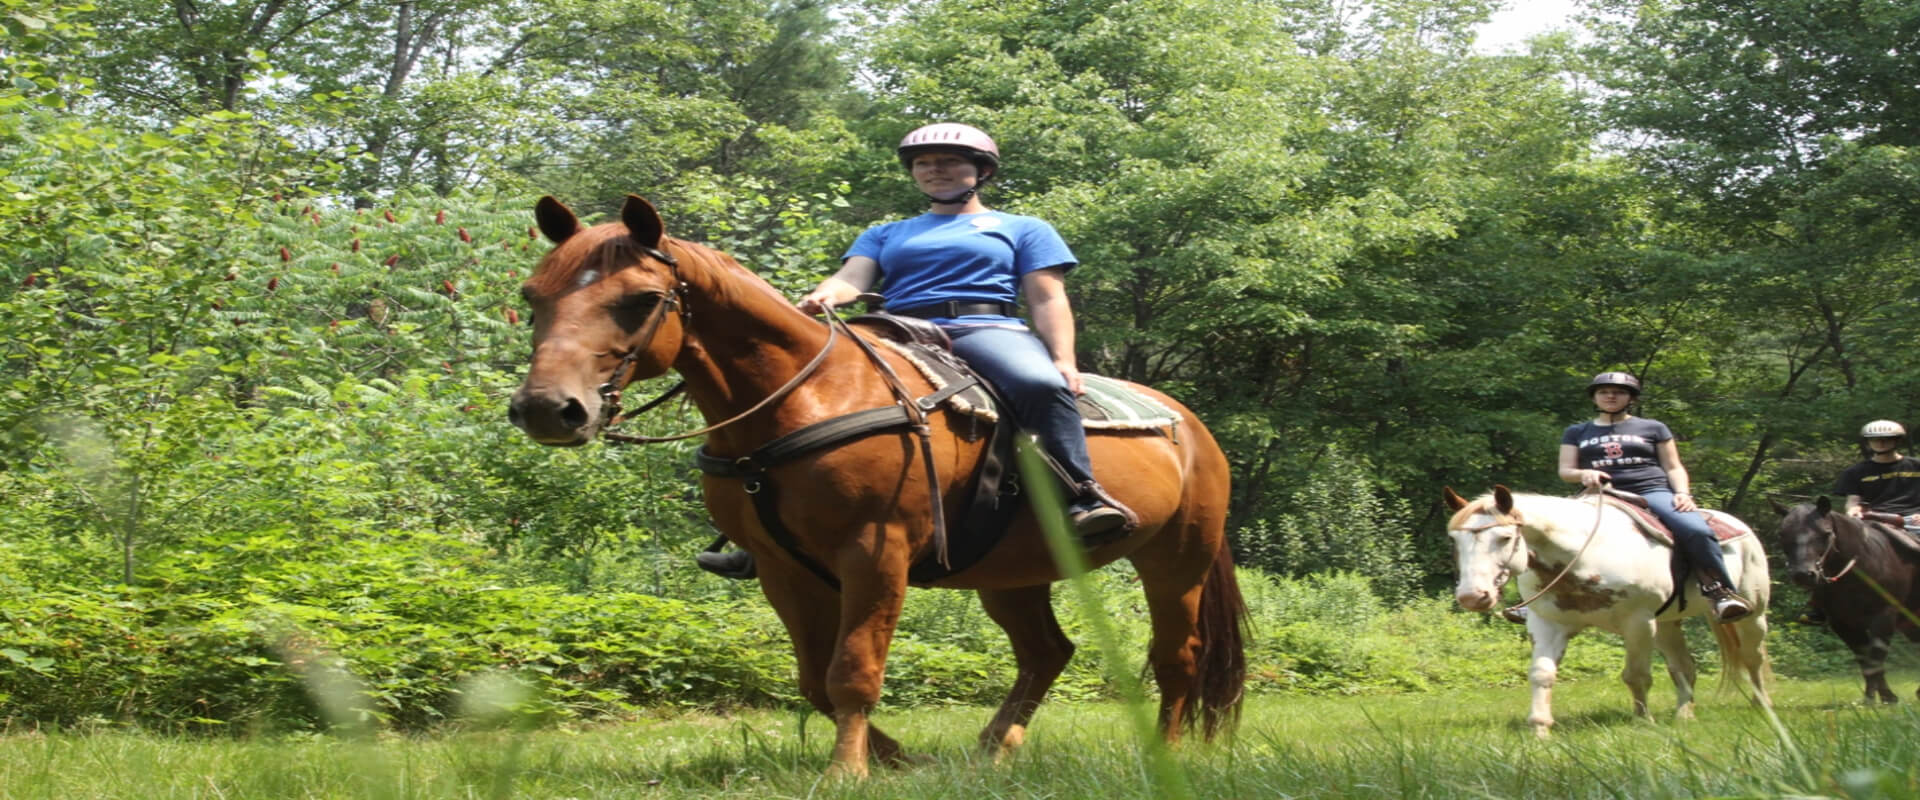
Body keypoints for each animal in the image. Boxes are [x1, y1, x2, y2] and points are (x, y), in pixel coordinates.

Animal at [503, 196, 1244, 775]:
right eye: (532, 298)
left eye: (640, 301)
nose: (547, 408)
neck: (803, 398)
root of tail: (1190, 427)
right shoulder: (782, 568)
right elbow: (815, 678)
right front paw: (899, 760)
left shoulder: (875, 551)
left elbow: (853, 669)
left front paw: (847, 772)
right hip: (1012, 574)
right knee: (1046, 651)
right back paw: (994, 748)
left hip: (1176, 559)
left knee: (1176, 657)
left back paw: (1166, 753)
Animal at [1443, 483, 1766, 732]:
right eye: (1455, 540)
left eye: (1505, 537)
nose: (1472, 596)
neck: (1583, 555)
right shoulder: (1546, 624)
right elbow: (1541, 674)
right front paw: (1540, 728)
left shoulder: (1638, 623)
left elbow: (1636, 675)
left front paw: (1643, 721)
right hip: (1666, 625)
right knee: (1683, 667)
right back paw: (1684, 715)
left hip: (1753, 615)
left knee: (1753, 659)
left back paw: (1762, 707)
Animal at [1766, 494, 1920, 702]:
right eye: (1782, 534)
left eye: (1825, 533)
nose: (1802, 575)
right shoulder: (1842, 623)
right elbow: (1866, 661)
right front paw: (1873, 698)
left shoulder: (1884, 617)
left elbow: (1876, 657)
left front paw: (1885, 698)